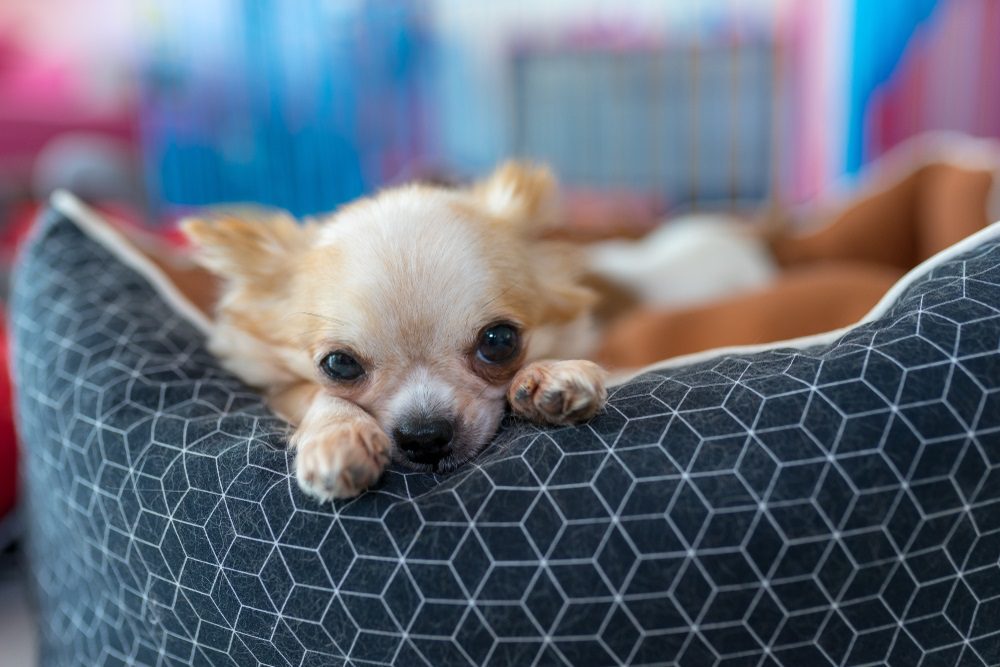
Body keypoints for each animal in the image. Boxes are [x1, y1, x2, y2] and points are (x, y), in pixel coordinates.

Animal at [185, 163, 608, 500]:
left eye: (500, 341)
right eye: (339, 364)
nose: (425, 436)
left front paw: (549, 373)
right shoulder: (274, 387)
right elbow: (316, 393)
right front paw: (339, 433)